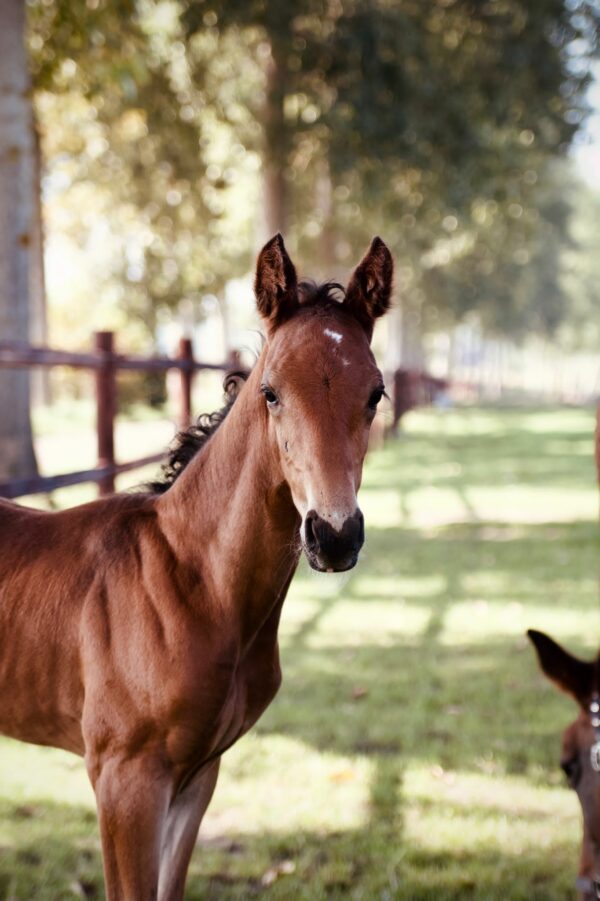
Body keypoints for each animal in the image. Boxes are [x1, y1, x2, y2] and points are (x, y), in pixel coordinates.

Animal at [0, 234, 394, 900]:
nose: (334, 535)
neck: (192, 582)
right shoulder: (124, 780)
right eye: (270, 392)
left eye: (375, 394)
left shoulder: (199, 774)